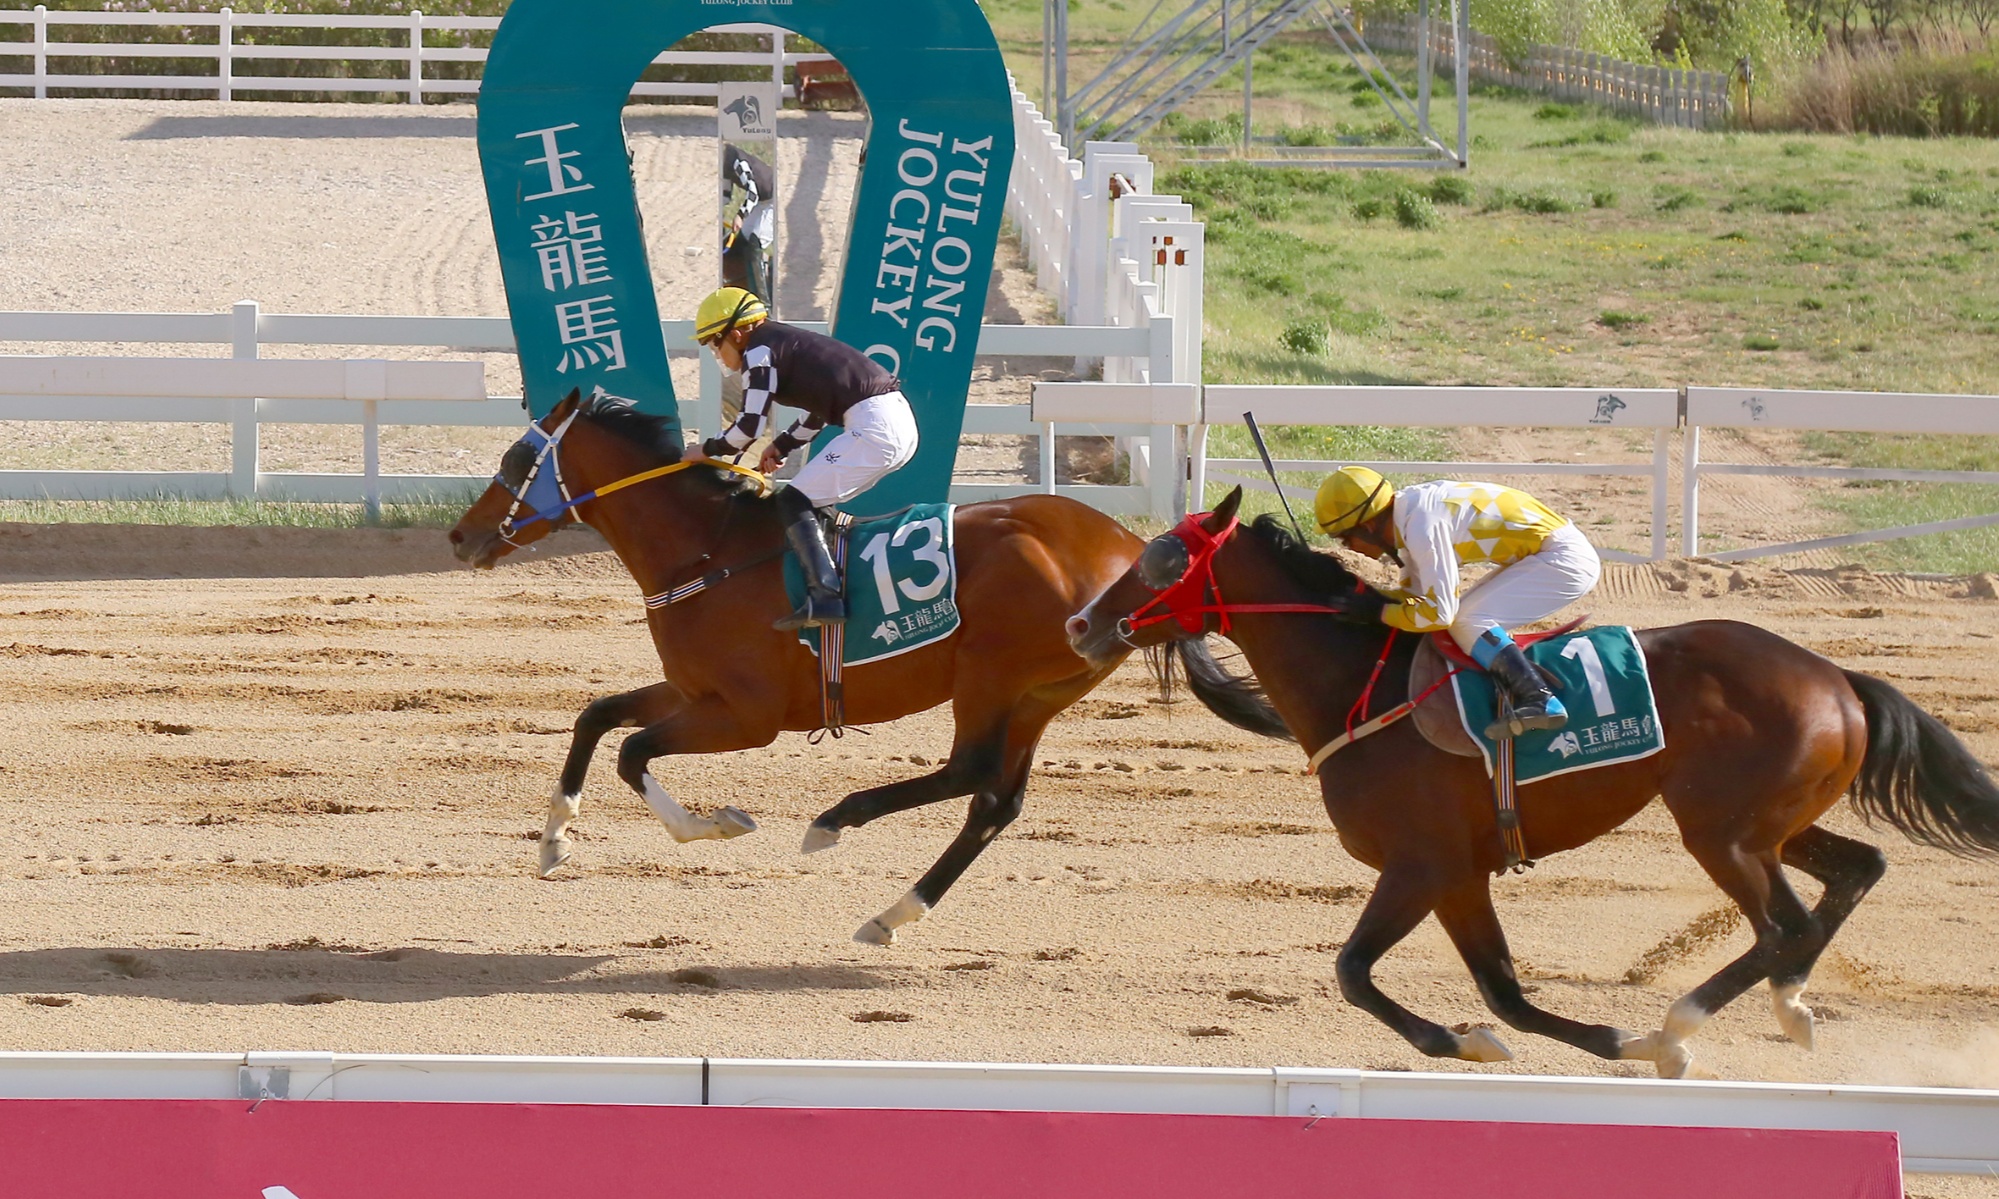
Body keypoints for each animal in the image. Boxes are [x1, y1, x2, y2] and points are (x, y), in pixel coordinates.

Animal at [445, 393, 1151, 947]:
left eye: (516, 460)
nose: (459, 536)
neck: (710, 550)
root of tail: (1129, 545)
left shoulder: (748, 716)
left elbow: (633, 751)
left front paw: (715, 824)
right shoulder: (694, 691)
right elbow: (597, 716)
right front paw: (553, 839)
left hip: (991, 676)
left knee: (970, 772)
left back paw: (834, 822)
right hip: (1040, 693)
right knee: (995, 802)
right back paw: (893, 913)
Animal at [1071, 487, 1999, 1079]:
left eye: (1161, 558)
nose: (1080, 623)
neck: (1359, 686)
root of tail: (1837, 677)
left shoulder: (1421, 864)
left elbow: (1353, 971)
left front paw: (1494, 1041)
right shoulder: (1458, 874)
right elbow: (1505, 994)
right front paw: (1543, 1041)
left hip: (1723, 832)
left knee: (1784, 923)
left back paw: (1686, 1020)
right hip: (1773, 820)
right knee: (1854, 872)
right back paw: (1789, 1006)